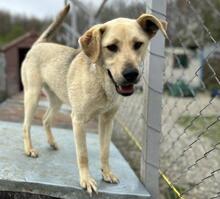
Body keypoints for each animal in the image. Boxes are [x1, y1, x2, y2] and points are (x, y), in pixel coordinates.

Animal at [21, 4, 168, 194]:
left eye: (138, 44)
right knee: (26, 126)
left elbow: (105, 151)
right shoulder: (78, 120)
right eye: (111, 47)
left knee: (46, 119)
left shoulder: (107, 120)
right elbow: (83, 155)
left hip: (57, 100)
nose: (131, 74)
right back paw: (29, 149)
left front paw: (107, 173)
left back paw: (52, 143)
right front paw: (86, 180)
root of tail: (39, 44)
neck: (102, 82)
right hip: (32, 95)